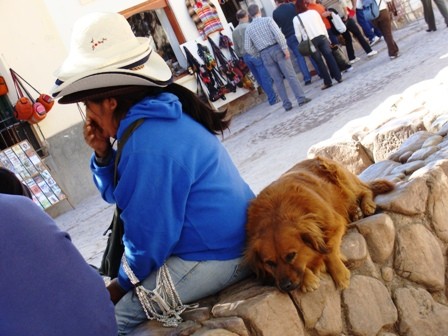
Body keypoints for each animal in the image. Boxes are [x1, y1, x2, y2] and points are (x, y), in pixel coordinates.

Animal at [243, 156, 394, 292]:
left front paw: (339, 274)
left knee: (365, 190)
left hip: (341, 177)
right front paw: (307, 279)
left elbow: (328, 249)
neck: (276, 213)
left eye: (291, 255)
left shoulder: (335, 223)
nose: (286, 286)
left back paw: (366, 205)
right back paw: (355, 211)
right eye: (269, 263)